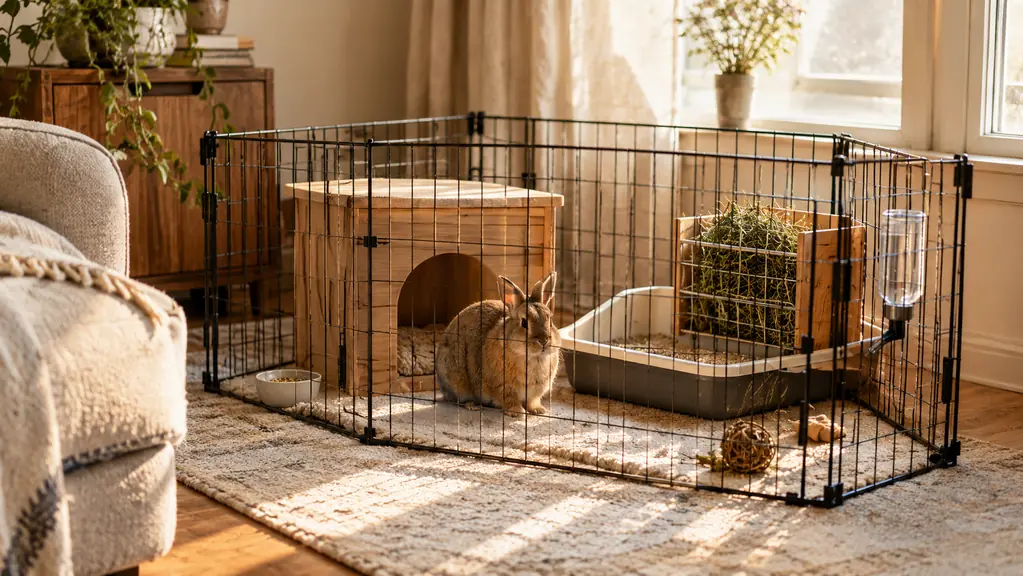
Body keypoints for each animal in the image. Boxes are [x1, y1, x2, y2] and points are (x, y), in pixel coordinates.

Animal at [435, 272, 561, 416]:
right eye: (524, 322)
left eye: (551, 321)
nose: (544, 341)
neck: (533, 357)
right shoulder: (503, 388)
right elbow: (510, 400)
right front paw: (518, 413)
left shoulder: (534, 394)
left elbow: (531, 401)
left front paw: (538, 410)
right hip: (455, 378)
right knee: (457, 400)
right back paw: (473, 406)